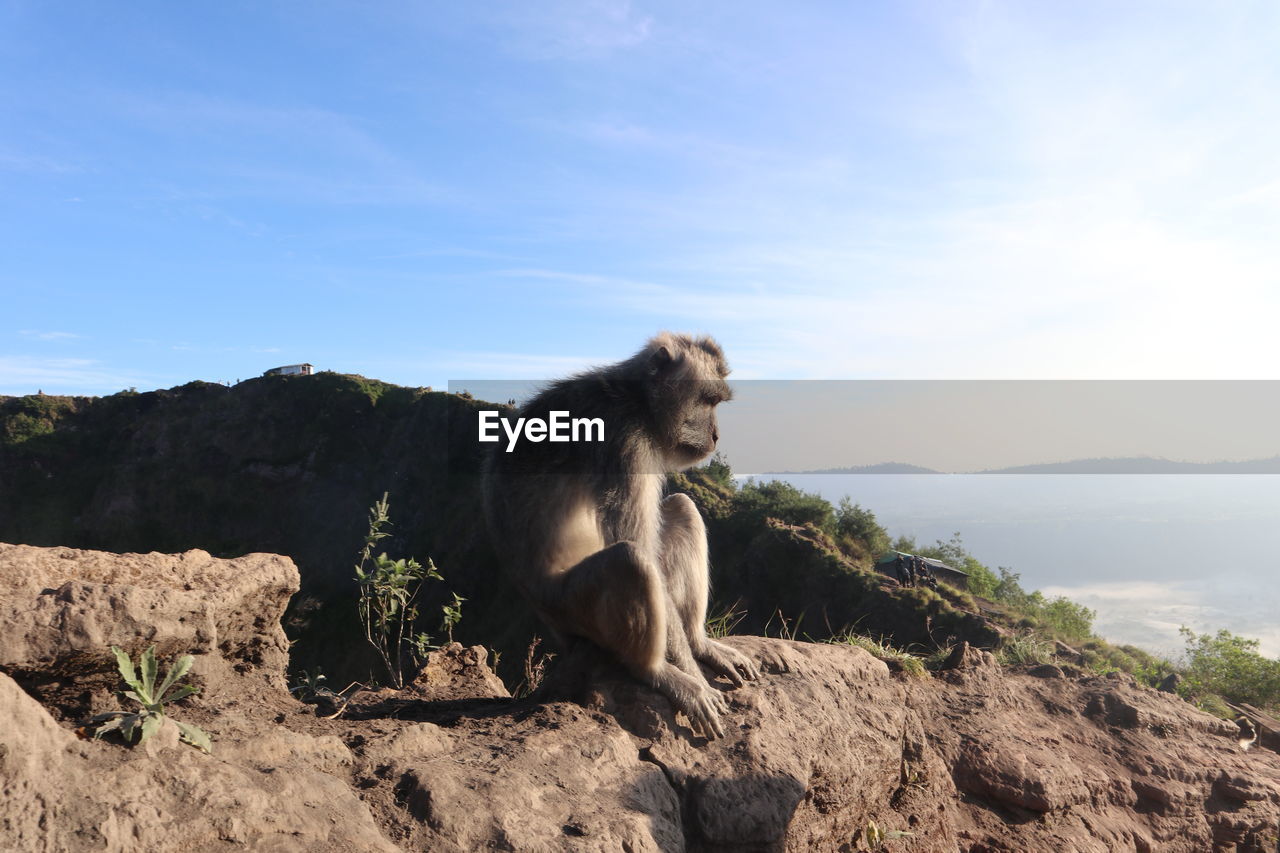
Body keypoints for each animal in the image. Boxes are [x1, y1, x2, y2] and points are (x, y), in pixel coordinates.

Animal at [481, 327, 757, 732]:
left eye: (717, 401)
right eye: (707, 400)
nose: (717, 434)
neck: (640, 404)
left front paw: (697, 653)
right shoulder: (624, 445)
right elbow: (636, 543)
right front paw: (692, 676)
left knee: (681, 507)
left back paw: (697, 641)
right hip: (573, 608)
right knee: (630, 560)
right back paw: (657, 671)